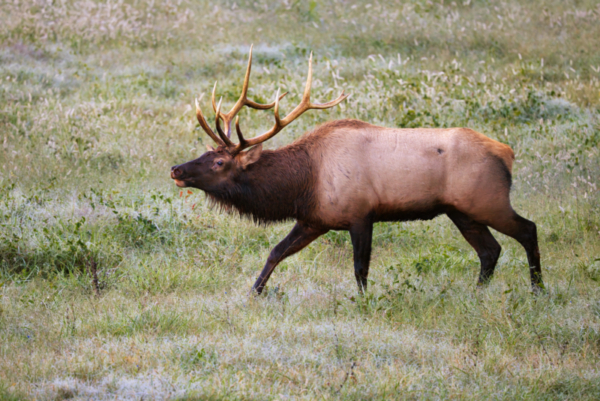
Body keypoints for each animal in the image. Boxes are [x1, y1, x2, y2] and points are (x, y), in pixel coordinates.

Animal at [170, 48, 544, 296]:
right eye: (207, 152)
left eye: (219, 162)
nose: (176, 168)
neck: (302, 184)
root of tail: (507, 152)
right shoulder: (315, 219)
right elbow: (276, 251)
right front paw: (253, 293)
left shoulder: (361, 214)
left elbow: (360, 268)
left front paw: (364, 303)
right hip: (462, 211)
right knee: (490, 251)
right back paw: (478, 293)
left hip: (487, 200)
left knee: (527, 229)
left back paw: (539, 290)